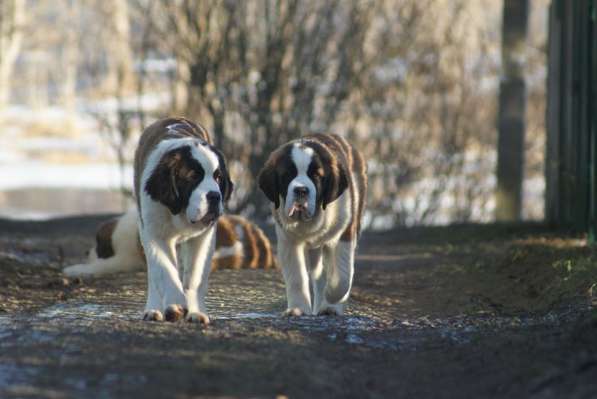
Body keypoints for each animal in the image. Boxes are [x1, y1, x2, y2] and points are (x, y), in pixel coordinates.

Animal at [258, 136, 366, 318]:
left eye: (316, 175)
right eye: (287, 175)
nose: (301, 190)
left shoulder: (344, 233)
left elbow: (342, 276)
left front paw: (331, 297)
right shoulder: (288, 241)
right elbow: (296, 277)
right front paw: (298, 309)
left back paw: (329, 305)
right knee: (318, 275)